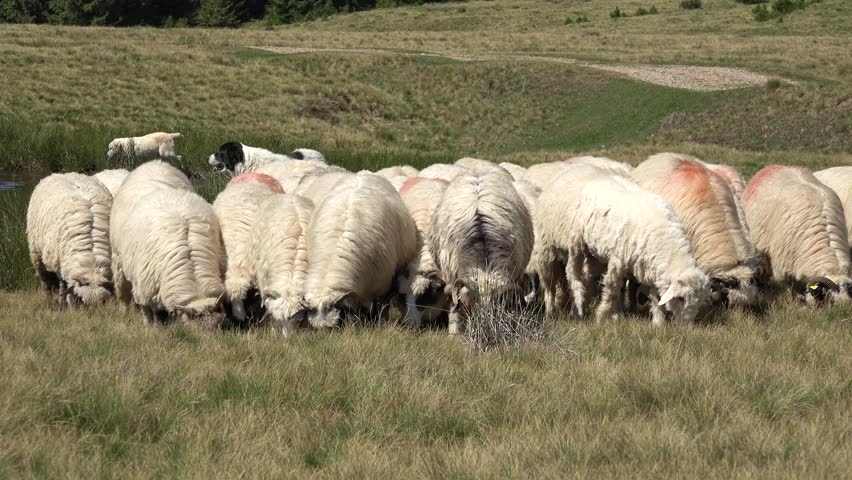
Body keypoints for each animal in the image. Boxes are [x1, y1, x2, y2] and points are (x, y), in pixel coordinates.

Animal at [27, 173, 114, 307]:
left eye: (102, 302)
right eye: (80, 299)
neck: (90, 261)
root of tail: (65, 174)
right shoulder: (58, 262)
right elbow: (63, 284)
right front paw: (63, 304)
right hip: (36, 253)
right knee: (45, 279)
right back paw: (48, 298)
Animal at [113, 187, 226, 327]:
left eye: (219, 326)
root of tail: (168, 191)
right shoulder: (148, 286)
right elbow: (152, 311)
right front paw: (152, 326)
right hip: (121, 262)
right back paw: (125, 312)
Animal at [429, 173, 534, 334]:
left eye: (497, 306)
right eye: (472, 304)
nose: (486, 327)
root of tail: (476, 174)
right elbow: (454, 308)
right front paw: (454, 332)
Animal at [536, 173, 709, 324]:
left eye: (699, 302)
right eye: (680, 298)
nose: (684, 326)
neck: (664, 239)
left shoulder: (651, 268)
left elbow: (655, 297)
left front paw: (658, 322)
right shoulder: (617, 260)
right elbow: (611, 290)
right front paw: (601, 316)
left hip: (593, 252)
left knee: (588, 277)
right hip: (573, 244)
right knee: (569, 277)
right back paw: (570, 309)